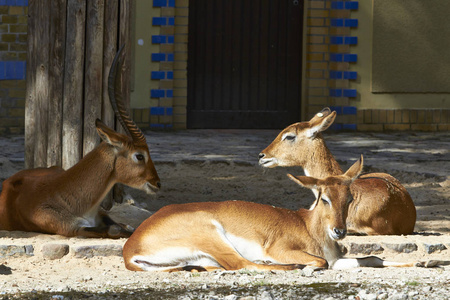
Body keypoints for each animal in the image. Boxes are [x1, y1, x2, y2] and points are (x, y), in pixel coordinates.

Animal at [0, 46, 161, 239]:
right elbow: (115, 229)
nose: (157, 183)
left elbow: (127, 226)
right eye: (139, 156)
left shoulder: (100, 214)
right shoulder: (73, 229)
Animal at [123, 157, 432, 272]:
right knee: (242, 264)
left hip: (203, 256)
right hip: (211, 233)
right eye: (324, 198)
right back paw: (288, 266)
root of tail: (131, 247)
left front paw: (424, 263)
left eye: (350, 198)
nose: (340, 231)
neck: (309, 227)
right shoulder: (284, 248)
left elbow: (373, 259)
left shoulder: (338, 258)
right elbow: (321, 261)